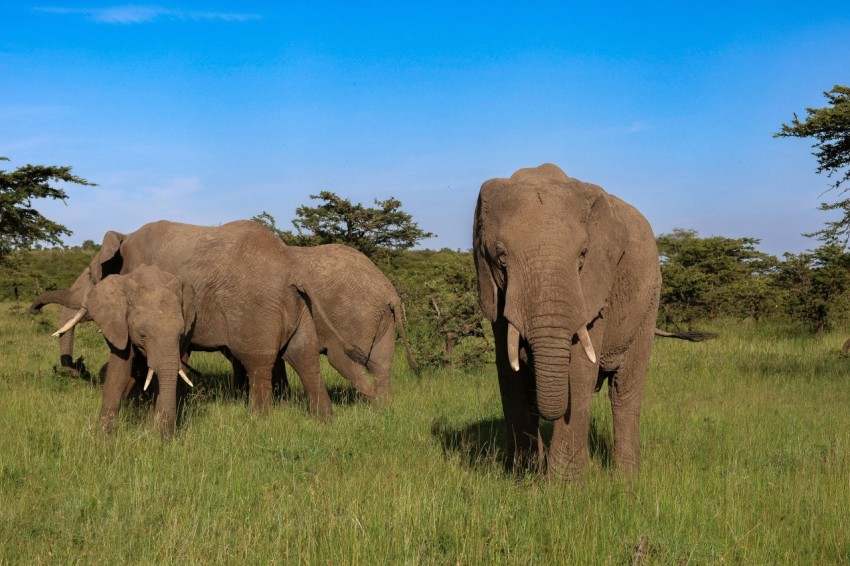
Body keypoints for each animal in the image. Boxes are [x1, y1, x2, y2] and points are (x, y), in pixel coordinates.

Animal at [35, 265, 195, 437]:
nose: (35, 310)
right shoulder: (118, 322)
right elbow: (119, 371)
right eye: (142, 335)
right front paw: (104, 438)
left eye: (180, 334)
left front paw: (155, 435)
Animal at [473, 163, 662, 480]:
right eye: (501, 258)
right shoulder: (498, 297)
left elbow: (580, 369)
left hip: (649, 301)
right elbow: (508, 373)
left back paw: (626, 480)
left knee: (624, 392)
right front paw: (524, 478)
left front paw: (564, 487)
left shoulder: (595, 287)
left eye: (583, 255)